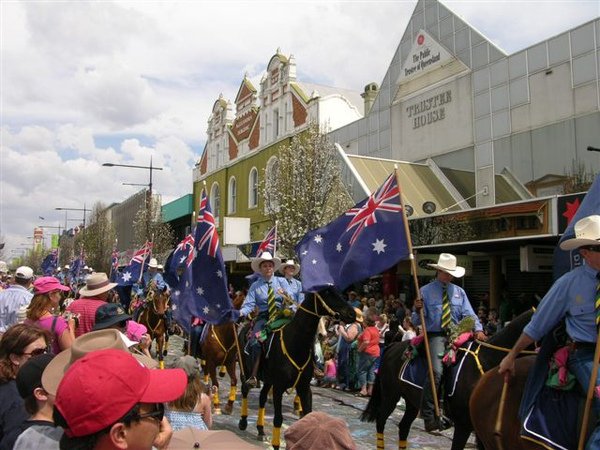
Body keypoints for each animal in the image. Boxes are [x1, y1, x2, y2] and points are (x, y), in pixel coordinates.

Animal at [237, 286, 354, 448]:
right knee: (245, 389)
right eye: (327, 293)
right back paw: (243, 421)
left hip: (268, 379)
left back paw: (260, 430)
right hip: (247, 370)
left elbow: (308, 416)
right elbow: (278, 419)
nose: (353, 313)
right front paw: (276, 444)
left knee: (262, 397)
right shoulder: (279, 387)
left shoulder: (304, 387)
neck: (295, 343)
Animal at [360, 310, 536, 450]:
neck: (487, 362)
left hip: (412, 402)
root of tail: (392, 348)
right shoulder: (464, 424)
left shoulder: (481, 431)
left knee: (403, 427)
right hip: (390, 395)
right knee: (381, 421)